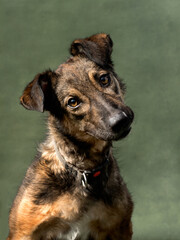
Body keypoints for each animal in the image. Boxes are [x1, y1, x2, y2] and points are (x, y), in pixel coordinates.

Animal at [7, 32, 134, 239]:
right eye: (73, 102)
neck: (84, 172)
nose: (121, 120)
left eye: (104, 79)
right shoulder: (24, 232)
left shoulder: (119, 227)